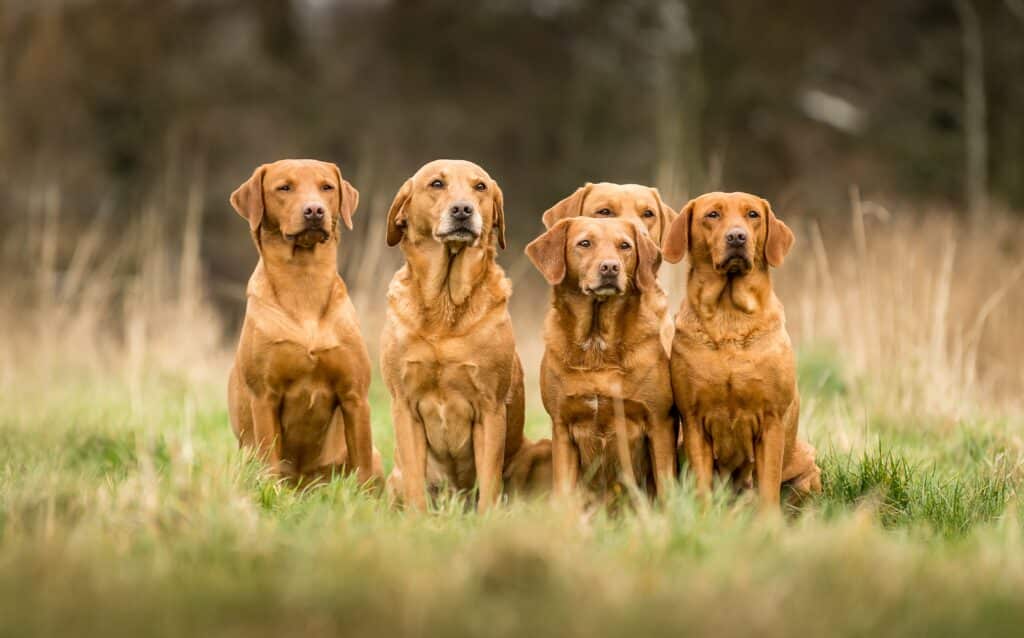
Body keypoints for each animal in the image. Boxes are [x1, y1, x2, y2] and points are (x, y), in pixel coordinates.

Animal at [228, 159, 385, 483]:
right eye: (284, 188)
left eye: (327, 187)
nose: (314, 210)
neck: (304, 282)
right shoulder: (264, 397)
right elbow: (269, 460)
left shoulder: (355, 396)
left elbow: (362, 465)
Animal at [380, 160, 532, 514]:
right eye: (437, 183)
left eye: (480, 187)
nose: (463, 210)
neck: (444, 308)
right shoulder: (404, 406)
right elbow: (415, 481)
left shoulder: (490, 409)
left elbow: (489, 481)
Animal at [524, 217, 675, 501]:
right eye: (585, 243)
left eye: (624, 246)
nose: (610, 268)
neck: (597, 347)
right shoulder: (562, 427)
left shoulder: (659, 424)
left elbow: (665, 487)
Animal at [663, 189, 823, 509]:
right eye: (712, 215)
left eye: (753, 215)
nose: (737, 237)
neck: (728, 317)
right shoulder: (694, 423)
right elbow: (702, 485)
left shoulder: (772, 422)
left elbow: (769, 486)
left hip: (807, 468)